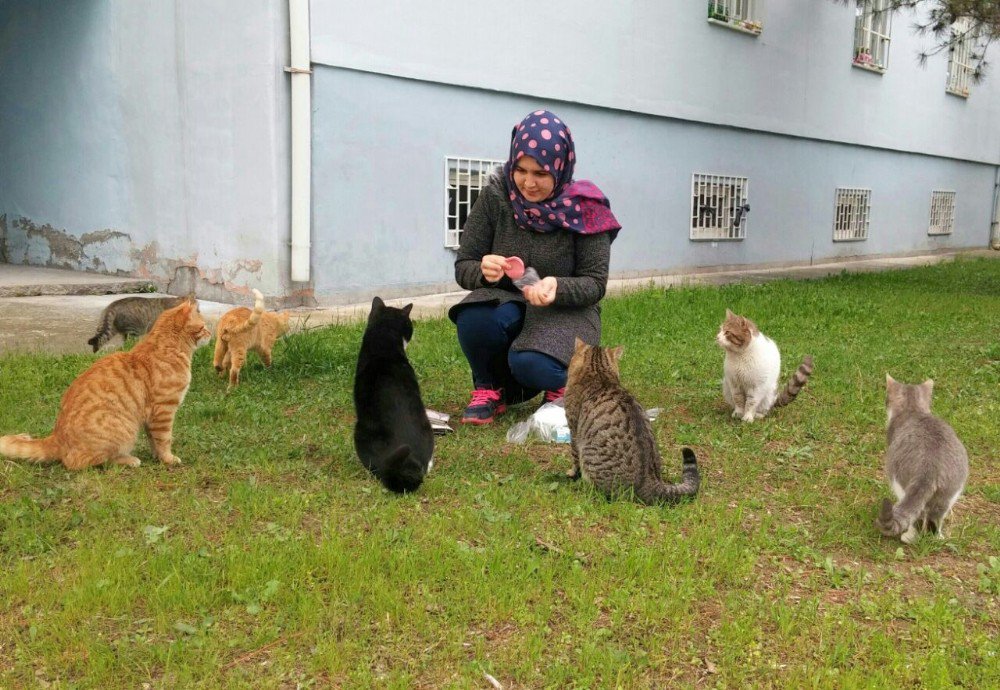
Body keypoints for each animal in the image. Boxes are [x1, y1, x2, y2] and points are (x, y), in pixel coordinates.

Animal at [0, 296, 211, 468]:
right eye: (203, 326)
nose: (210, 333)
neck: (168, 348)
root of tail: (56, 437)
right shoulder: (163, 411)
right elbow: (164, 439)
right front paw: (168, 459)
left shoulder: (152, 417)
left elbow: (153, 440)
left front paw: (157, 457)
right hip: (123, 432)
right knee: (81, 462)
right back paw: (128, 460)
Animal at [876, 376, 968, 544]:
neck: (914, 410)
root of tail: (930, 470)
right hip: (950, 492)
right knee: (935, 518)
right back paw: (936, 537)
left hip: (901, 484)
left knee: (916, 515)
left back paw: (909, 537)